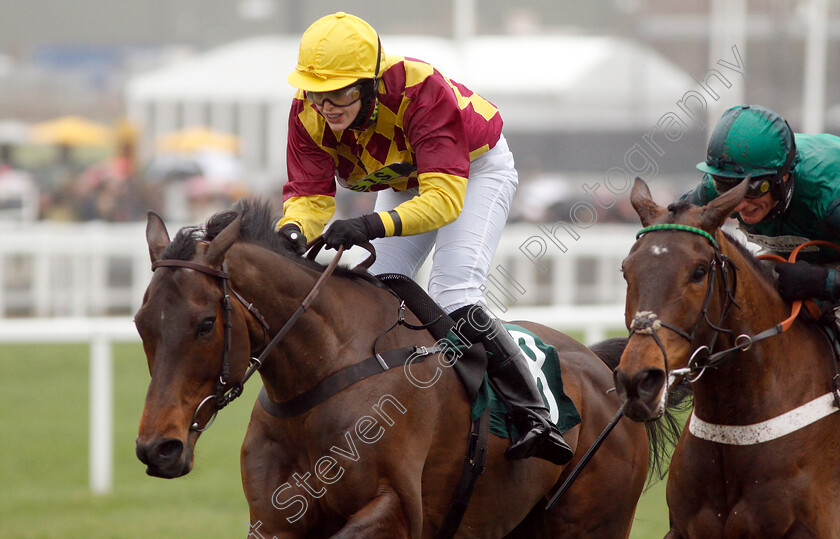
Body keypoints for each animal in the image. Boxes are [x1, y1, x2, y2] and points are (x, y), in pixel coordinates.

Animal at [136, 199, 676, 539]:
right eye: (141, 323)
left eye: (206, 323)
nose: (158, 448)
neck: (323, 373)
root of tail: (605, 372)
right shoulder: (273, 517)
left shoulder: (396, 509)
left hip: (594, 522)